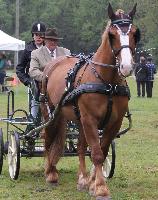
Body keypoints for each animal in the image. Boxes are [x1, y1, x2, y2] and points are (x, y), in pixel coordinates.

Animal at [40, 3, 139, 200]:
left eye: (134, 33)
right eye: (112, 34)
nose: (126, 67)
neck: (108, 83)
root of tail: (53, 63)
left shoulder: (113, 122)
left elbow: (101, 150)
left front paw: (92, 183)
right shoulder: (90, 119)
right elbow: (97, 153)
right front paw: (100, 188)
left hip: (78, 119)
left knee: (79, 147)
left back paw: (82, 179)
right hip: (51, 114)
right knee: (48, 139)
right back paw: (51, 173)